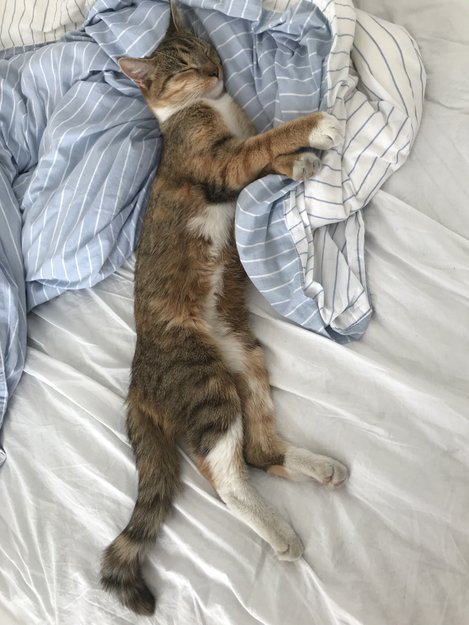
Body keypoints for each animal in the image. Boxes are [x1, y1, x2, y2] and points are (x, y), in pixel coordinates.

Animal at [100, 2, 348, 616]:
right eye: (186, 67)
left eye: (209, 51)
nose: (215, 71)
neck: (212, 108)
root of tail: (137, 380)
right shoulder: (216, 163)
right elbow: (262, 145)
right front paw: (314, 130)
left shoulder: (236, 156)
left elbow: (264, 154)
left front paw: (300, 163)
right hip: (204, 380)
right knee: (224, 471)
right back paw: (280, 533)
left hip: (246, 359)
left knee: (259, 450)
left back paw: (319, 467)